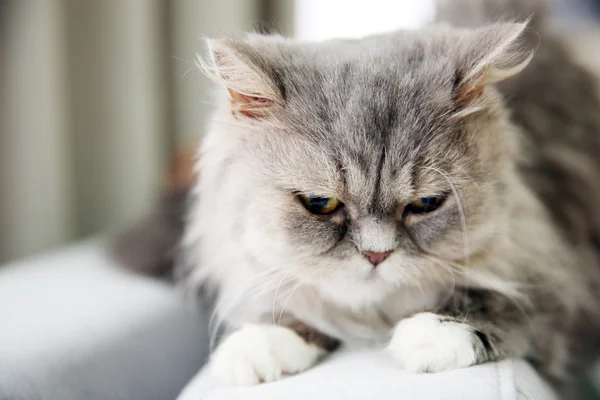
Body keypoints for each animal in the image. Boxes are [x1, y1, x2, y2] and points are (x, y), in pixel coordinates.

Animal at [146, 0, 600, 392]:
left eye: (426, 204)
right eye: (320, 203)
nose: (376, 255)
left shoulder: (563, 277)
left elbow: (509, 303)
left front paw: (434, 332)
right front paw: (261, 344)